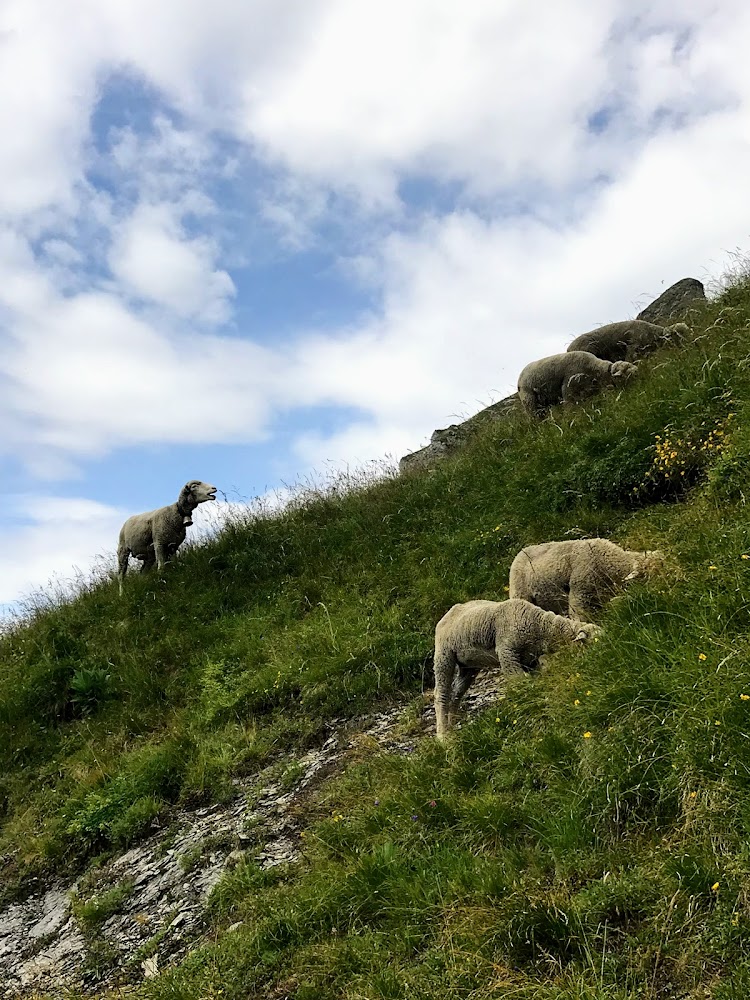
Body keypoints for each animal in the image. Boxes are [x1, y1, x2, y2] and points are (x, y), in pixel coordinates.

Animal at [432, 596, 604, 740]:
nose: (605, 652)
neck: (539, 626)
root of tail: (448, 612)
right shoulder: (507, 651)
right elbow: (519, 680)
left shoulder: (530, 660)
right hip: (443, 654)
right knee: (441, 694)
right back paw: (443, 736)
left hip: (468, 665)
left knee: (456, 693)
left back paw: (451, 728)